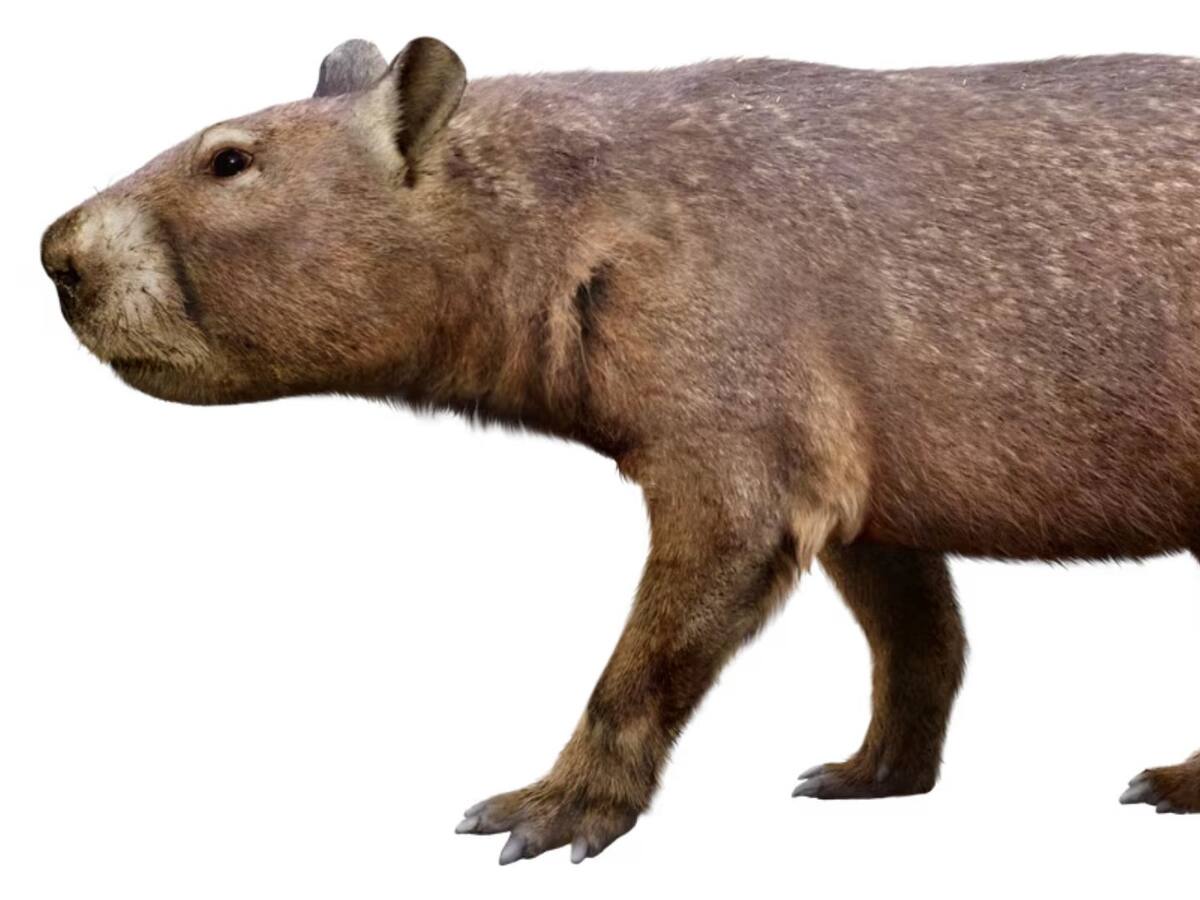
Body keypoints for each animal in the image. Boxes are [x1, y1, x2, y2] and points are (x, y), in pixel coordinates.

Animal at [40, 36, 1200, 864]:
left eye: (229, 158)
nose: (57, 254)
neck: (572, 203)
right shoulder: (858, 428)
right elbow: (907, 610)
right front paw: (866, 771)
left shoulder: (733, 353)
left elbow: (711, 564)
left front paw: (544, 811)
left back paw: (1173, 783)